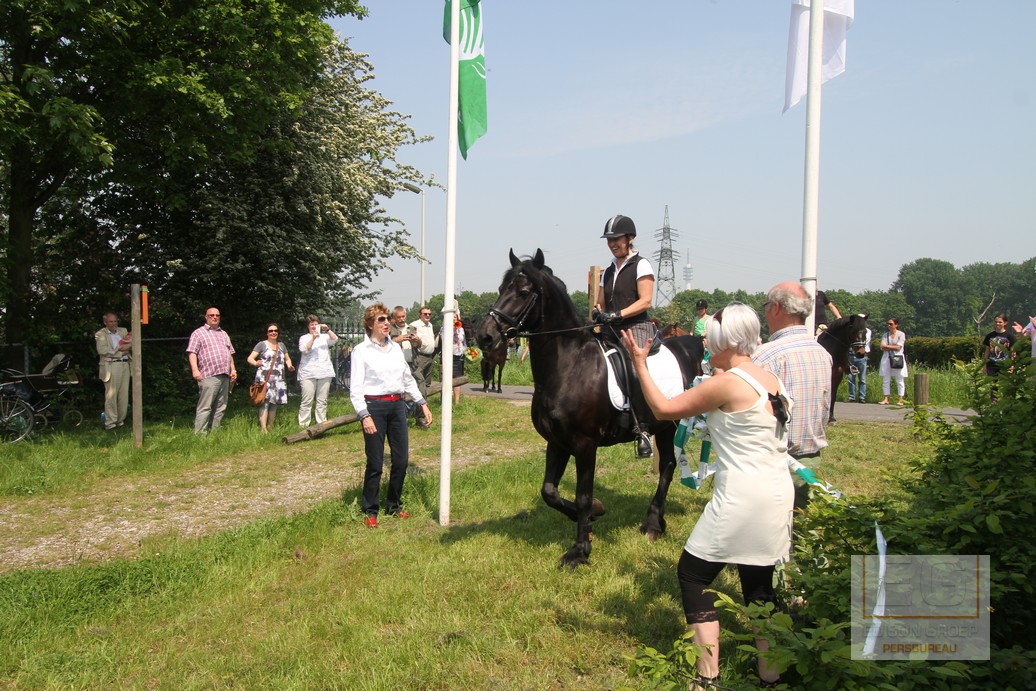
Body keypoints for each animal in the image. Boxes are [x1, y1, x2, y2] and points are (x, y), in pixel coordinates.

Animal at [476, 249, 704, 568]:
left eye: (523, 292)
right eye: (499, 289)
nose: (484, 337)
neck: (568, 367)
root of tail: (690, 346)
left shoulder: (585, 444)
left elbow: (583, 494)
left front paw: (580, 550)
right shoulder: (557, 442)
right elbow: (549, 491)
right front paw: (594, 514)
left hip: (668, 428)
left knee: (667, 467)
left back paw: (652, 524)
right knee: (668, 465)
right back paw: (657, 521)